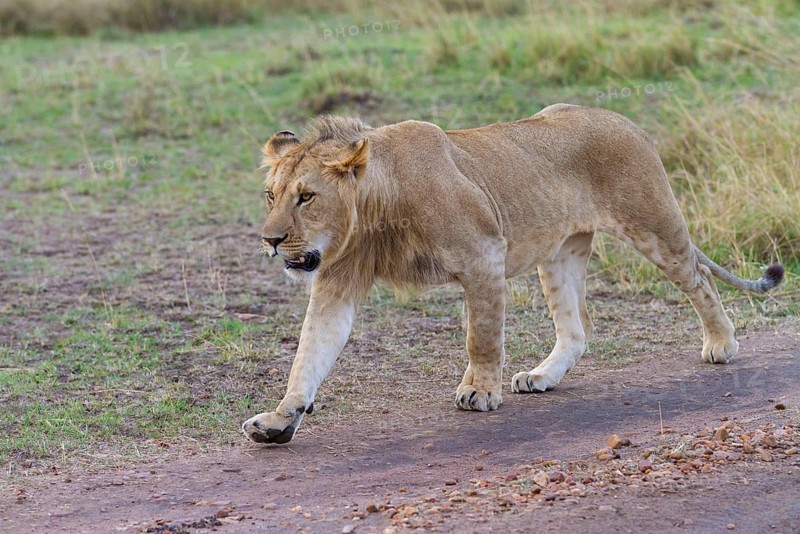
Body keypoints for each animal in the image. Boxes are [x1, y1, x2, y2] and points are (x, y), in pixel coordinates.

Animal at [242, 104, 784, 445]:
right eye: (271, 195)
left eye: (306, 197)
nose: (271, 240)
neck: (375, 209)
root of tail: (624, 120)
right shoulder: (337, 282)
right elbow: (309, 355)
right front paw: (280, 419)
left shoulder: (485, 255)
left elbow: (481, 337)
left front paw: (481, 392)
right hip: (559, 254)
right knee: (577, 329)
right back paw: (542, 376)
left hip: (653, 225)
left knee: (699, 279)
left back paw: (721, 344)